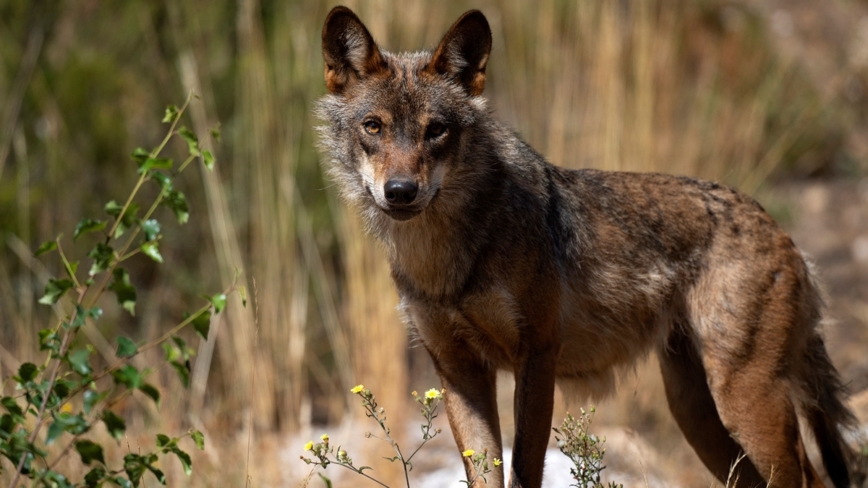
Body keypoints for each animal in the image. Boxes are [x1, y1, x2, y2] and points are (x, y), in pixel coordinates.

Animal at [314, 4, 860, 488]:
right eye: (373, 127)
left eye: (436, 131)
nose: (401, 191)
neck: (446, 261)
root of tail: (779, 229)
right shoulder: (458, 371)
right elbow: (484, 475)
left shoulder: (538, 356)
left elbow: (525, 471)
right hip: (697, 415)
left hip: (743, 403)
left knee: (811, 478)